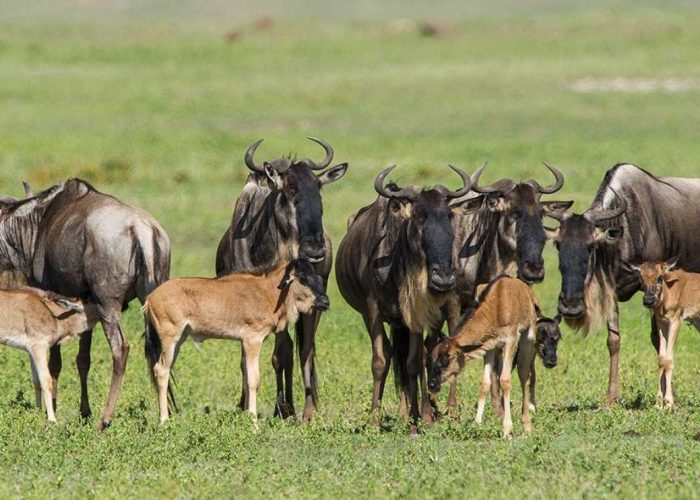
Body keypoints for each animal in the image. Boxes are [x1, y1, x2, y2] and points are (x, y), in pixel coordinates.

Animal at [0, 288, 99, 420]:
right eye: (91, 299)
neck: (53, 314)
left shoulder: (31, 350)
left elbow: (36, 381)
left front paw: (37, 412)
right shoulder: (39, 347)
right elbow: (46, 381)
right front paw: (52, 419)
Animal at [144, 262, 330, 422]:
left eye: (318, 277)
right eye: (303, 279)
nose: (325, 302)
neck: (269, 291)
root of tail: (150, 298)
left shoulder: (245, 342)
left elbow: (247, 377)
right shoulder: (252, 340)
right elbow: (254, 380)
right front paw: (254, 423)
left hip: (179, 340)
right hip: (170, 338)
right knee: (161, 370)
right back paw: (164, 421)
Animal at [636, 260, 700, 408]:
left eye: (660, 277)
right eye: (641, 277)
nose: (648, 300)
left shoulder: (675, 321)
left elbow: (669, 359)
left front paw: (669, 402)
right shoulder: (661, 323)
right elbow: (662, 358)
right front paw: (658, 403)